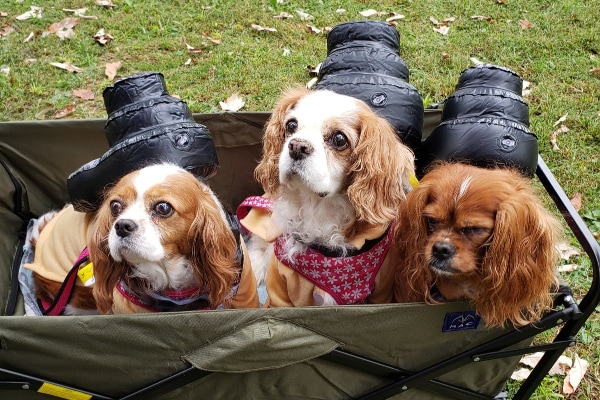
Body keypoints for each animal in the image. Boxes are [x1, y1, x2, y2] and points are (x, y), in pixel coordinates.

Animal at [238, 87, 412, 306]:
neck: (318, 208)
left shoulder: (383, 289)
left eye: (339, 139)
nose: (297, 146)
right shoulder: (280, 288)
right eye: (291, 125)